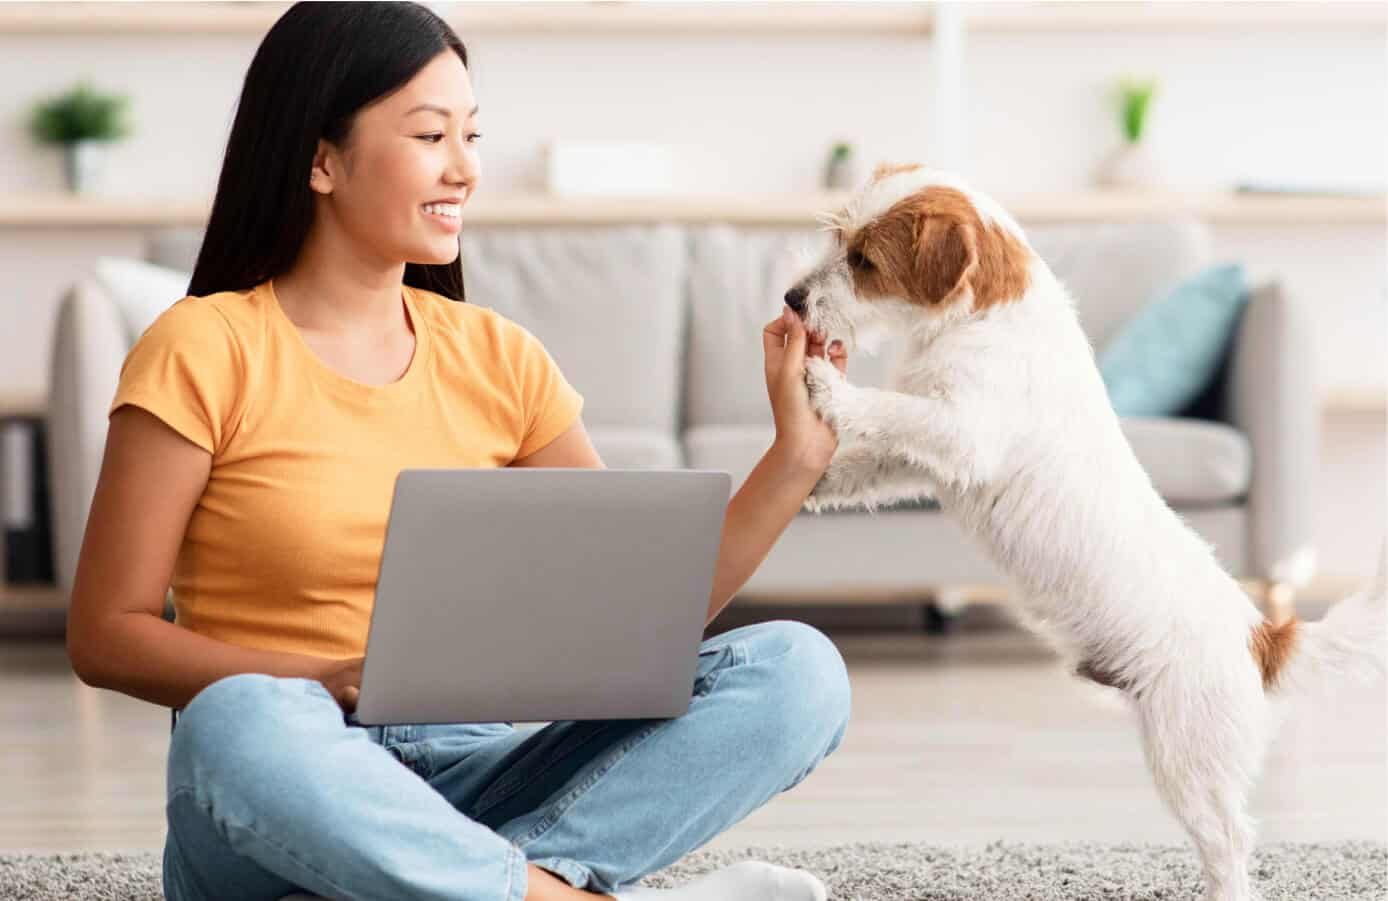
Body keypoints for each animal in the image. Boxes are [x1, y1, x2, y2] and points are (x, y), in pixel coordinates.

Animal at [793, 161, 1388, 899]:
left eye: (865, 261)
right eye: (838, 238)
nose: (790, 298)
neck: (982, 317)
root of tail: (1262, 638)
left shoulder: (962, 431)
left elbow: (888, 408)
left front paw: (829, 387)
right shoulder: (923, 459)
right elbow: (871, 460)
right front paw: (814, 481)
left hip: (1187, 758)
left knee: (1231, 843)